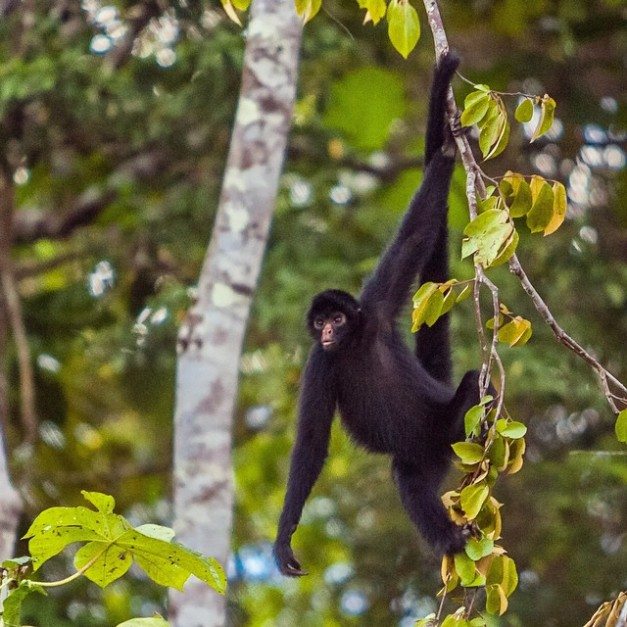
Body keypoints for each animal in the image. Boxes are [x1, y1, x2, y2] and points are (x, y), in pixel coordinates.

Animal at [274, 51, 480, 576]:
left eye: (337, 319)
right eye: (320, 324)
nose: (327, 331)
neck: (354, 344)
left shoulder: (378, 307)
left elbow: (415, 236)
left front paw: (444, 151)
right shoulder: (320, 362)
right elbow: (311, 444)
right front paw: (285, 538)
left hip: (445, 423)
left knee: (471, 385)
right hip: (425, 454)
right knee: (408, 476)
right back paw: (449, 539)